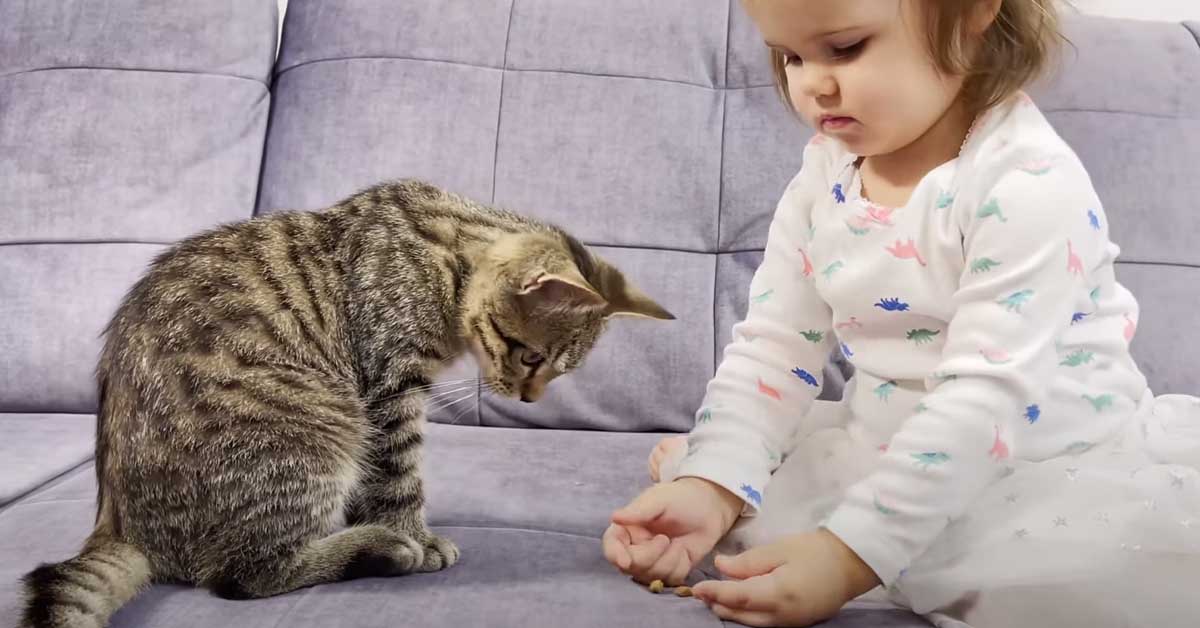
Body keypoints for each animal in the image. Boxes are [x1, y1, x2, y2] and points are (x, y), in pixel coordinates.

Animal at [21, 178, 676, 624]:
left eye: (558, 371)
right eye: (532, 358)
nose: (531, 398)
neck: (446, 253)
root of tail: (121, 527)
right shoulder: (388, 388)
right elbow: (400, 476)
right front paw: (413, 534)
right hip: (319, 429)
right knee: (243, 576)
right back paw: (381, 549)